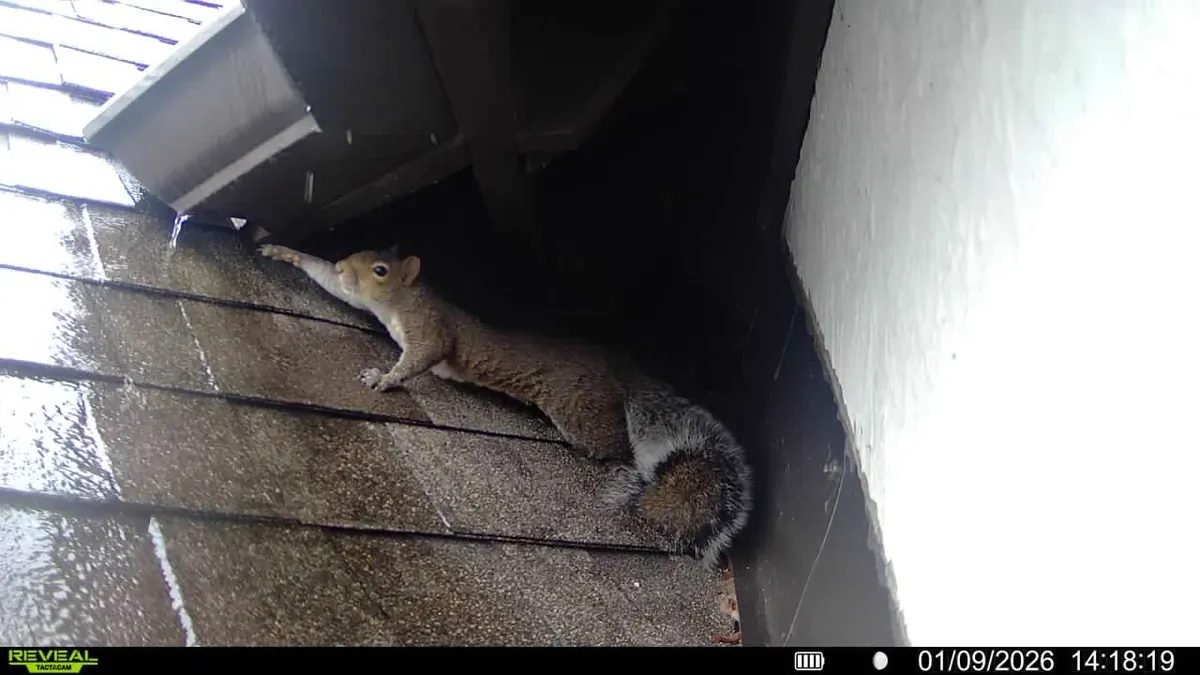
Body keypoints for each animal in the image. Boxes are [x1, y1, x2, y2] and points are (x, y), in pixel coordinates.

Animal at [259, 244, 753, 569]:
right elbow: (333, 286)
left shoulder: (430, 327)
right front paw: (289, 254)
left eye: (380, 269)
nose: (346, 265)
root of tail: (622, 370)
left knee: (611, 441)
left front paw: (384, 377)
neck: (401, 300)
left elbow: (424, 356)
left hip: (579, 411)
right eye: (355, 255)